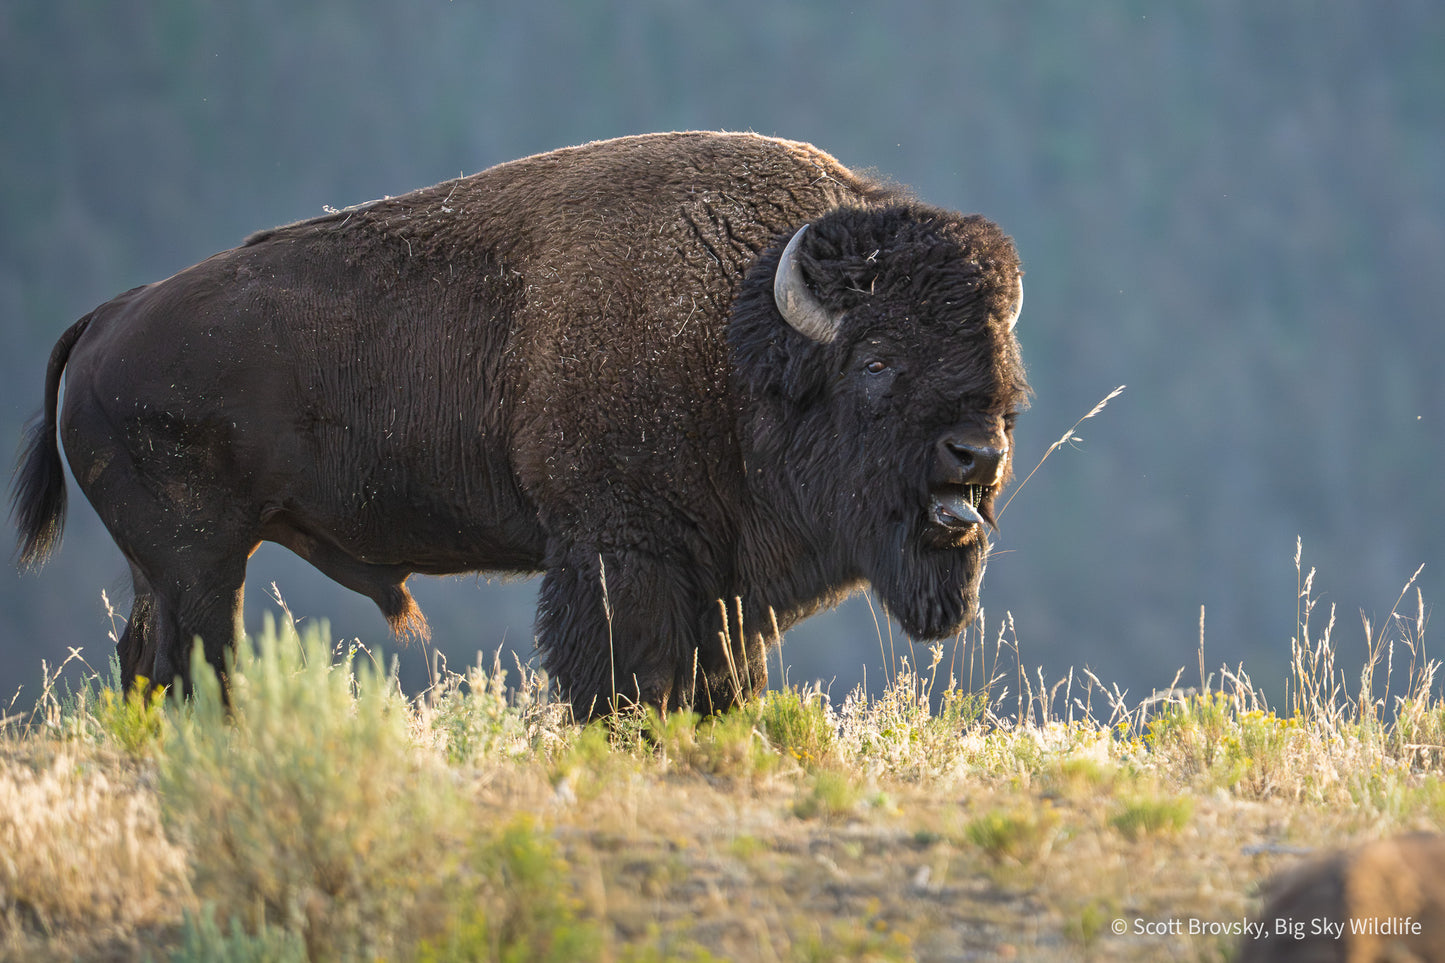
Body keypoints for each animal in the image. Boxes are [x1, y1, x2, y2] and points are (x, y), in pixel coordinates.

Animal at [11, 131, 1027, 717]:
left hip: (173, 569)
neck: (737, 334)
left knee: (147, 660)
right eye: (876, 361)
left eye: (1000, 364)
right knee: (187, 661)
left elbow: (719, 684)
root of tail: (107, 317)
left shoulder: (719, 586)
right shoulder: (621, 554)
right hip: (201, 563)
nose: (976, 453)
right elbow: (624, 677)